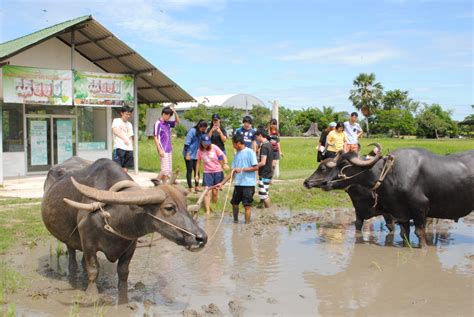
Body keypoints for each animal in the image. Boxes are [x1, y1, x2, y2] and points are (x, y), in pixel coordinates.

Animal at [42, 157, 207, 296]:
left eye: (185, 204)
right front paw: (92, 294)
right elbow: (93, 270)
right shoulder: (88, 242)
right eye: (169, 208)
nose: (201, 238)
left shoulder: (130, 245)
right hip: (70, 239)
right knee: (72, 256)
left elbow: (123, 272)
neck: (113, 216)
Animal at [304, 146, 474, 247]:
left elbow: (420, 234)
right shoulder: (399, 213)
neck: (389, 174)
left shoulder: (418, 209)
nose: (308, 182)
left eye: (343, 164)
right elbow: (403, 234)